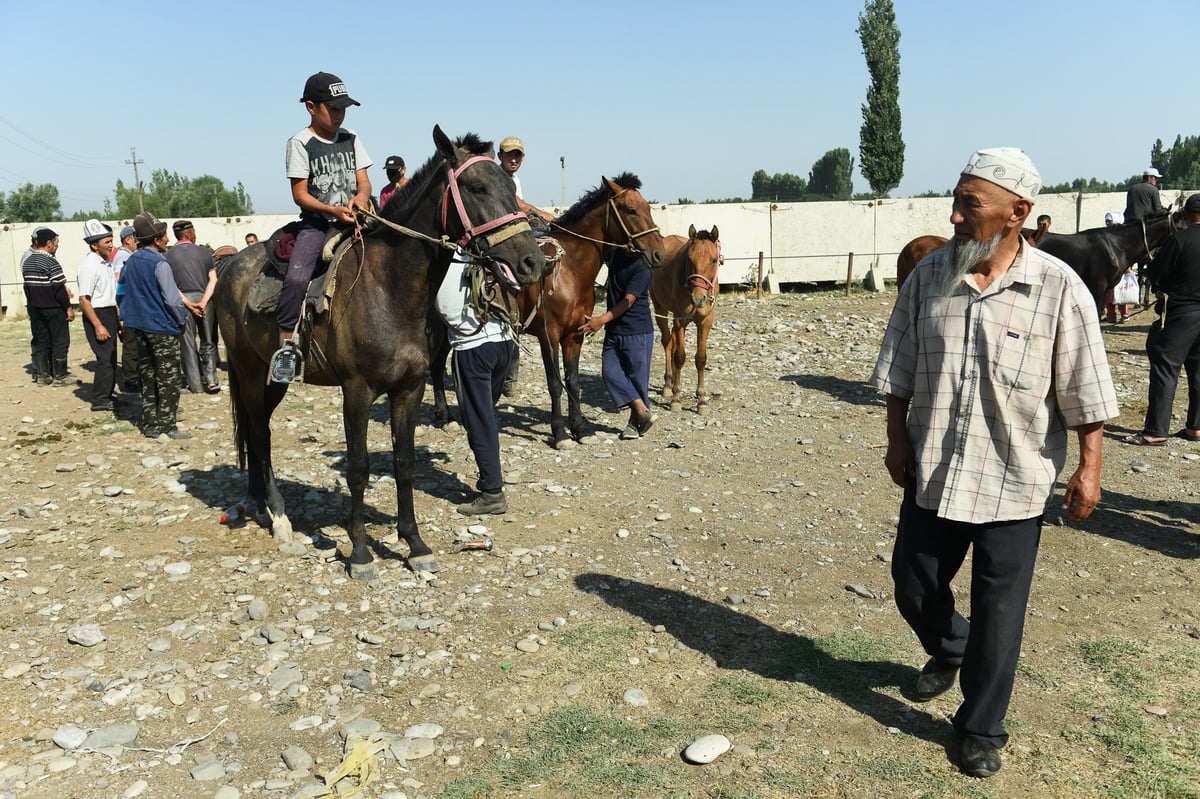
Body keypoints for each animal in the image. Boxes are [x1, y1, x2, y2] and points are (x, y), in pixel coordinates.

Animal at [217, 128, 549, 578]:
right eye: (477, 187)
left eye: (512, 189)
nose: (533, 262)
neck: (389, 287)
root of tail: (230, 266)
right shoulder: (356, 392)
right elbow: (358, 469)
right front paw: (359, 552)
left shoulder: (409, 389)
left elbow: (404, 464)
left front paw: (415, 544)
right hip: (250, 372)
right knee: (259, 432)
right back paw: (280, 519)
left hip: (272, 381)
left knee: (257, 431)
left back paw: (260, 504)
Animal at [429, 171, 667, 443]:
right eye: (631, 210)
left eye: (648, 207)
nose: (659, 254)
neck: (570, 271)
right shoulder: (549, 334)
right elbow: (554, 383)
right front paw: (560, 433)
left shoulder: (574, 335)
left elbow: (572, 381)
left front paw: (580, 428)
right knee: (436, 363)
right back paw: (445, 416)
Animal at [652, 221, 715, 410]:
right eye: (690, 259)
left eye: (714, 260)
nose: (698, 298)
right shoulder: (680, 319)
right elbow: (679, 356)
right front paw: (676, 397)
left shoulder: (705, 321)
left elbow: (701, 358)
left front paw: (701, 399)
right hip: (660, 310)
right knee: (668, 343)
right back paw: (668, 385)